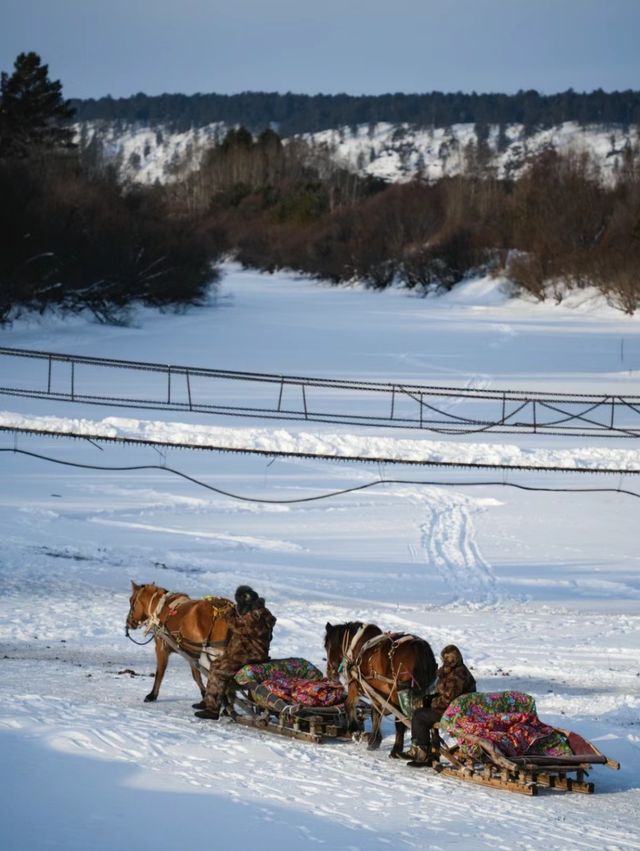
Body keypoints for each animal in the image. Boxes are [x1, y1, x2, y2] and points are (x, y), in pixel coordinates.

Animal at [324, 624, 436, 756]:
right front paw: (374, 741)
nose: (330, 673)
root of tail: (421, 650)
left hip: (398, 693)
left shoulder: (355, 684)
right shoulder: (378, 693)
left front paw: (355, 732)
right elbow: (376, 713)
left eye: (327, 646)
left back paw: (396, 750)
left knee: (401, 721)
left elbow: (349, 704)